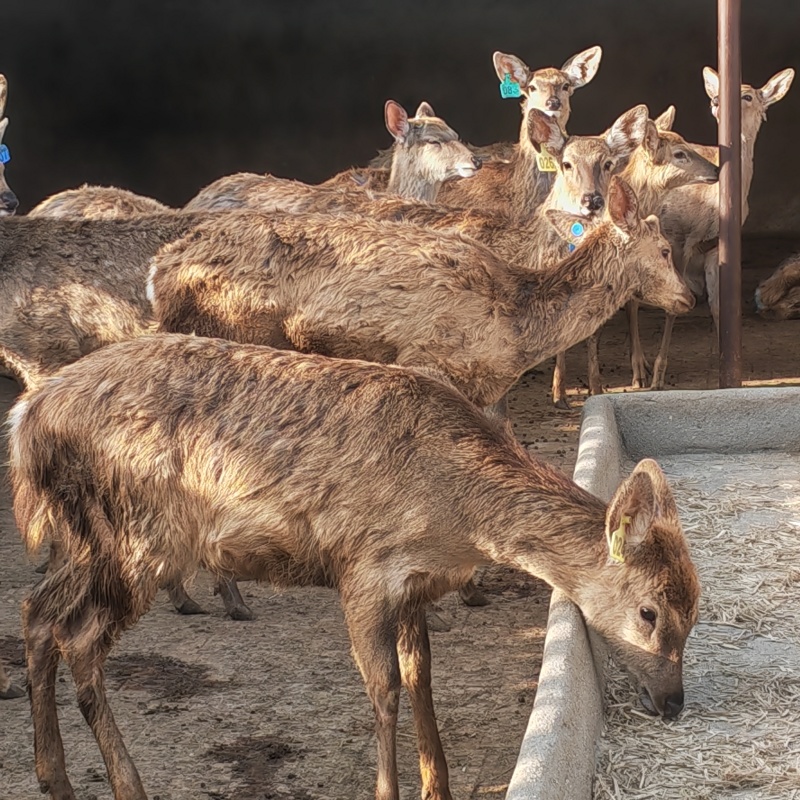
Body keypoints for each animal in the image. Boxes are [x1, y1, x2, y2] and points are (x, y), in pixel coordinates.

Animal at [12, 333, 701, 800]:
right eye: (649, 611)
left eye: (695, 611)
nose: (673, 703)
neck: (456, 519)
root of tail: (25, 420)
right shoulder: (364, 569)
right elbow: (384, 686)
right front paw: (392, 790)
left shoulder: (415, 586)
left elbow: (421, 675)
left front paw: (439, 786)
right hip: (136, 535)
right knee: (79, 638)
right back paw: (126, 784)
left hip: (80, 539)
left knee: (36, 611)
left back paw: (54, 776)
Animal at [651, 66, 794, 389]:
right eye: (721, 91)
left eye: (748, 96)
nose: (717, 100)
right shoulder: (679, 238)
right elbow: (674, 306)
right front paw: (657, 376)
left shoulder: (715, 247)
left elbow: (719, 306)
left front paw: (724, 372)